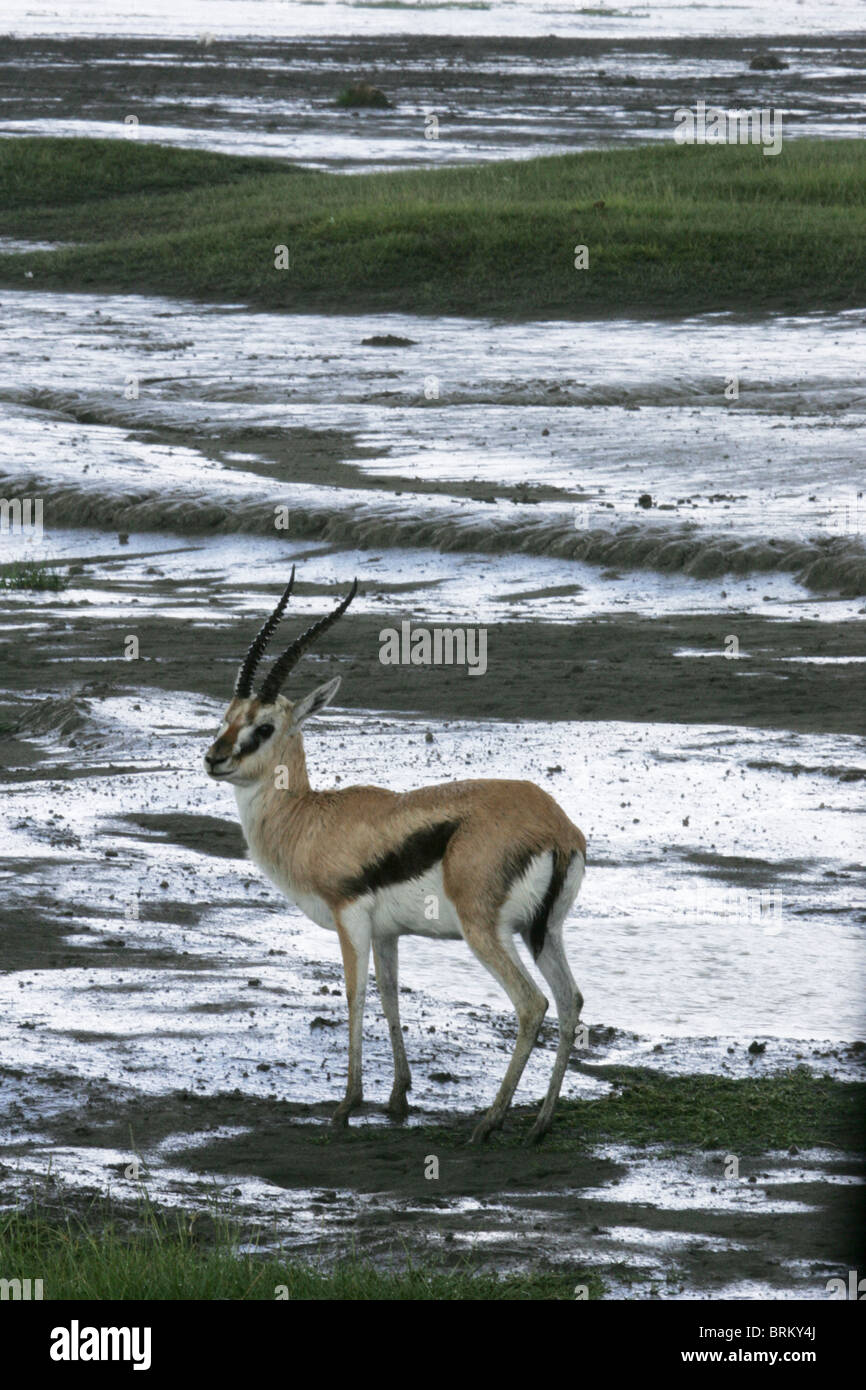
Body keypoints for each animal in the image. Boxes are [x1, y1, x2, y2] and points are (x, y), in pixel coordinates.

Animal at [205, 572, 587, 1143]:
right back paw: (539, 1124)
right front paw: (399, 1097)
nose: (214, 758)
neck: (313, 819)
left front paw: (347, 1104)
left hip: (486, 932)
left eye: (264, 727)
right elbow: (390, 995)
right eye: (227, 718)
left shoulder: (350, 919)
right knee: (569, 1001)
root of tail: (557, 829)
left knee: (531, 1004)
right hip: (544, 933)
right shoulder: (387, 933)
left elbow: (355, 996)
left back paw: (489, 1123)